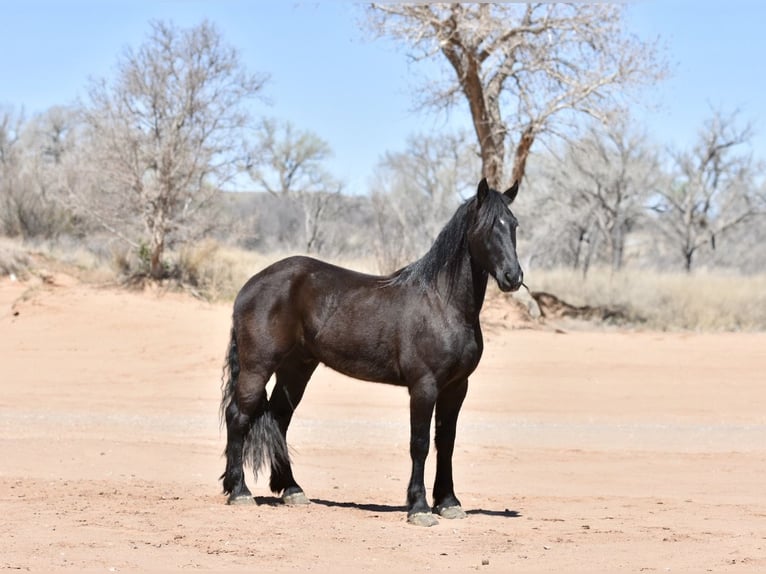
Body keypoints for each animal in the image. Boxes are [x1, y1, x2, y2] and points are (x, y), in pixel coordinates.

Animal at [219, 177, 523, 527]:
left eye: (513, 224)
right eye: (487, 227)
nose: (513, 277)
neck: (443, 305)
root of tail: (251, 285)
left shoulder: (457, 387)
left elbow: (446, 442)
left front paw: (448, 502)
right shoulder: (424, 386)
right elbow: (419, 444)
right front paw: (420, 508)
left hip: (297, 368)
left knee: (278, 420)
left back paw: (292, 490)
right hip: (257, 366)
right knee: (238, 416)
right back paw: (240, 491)